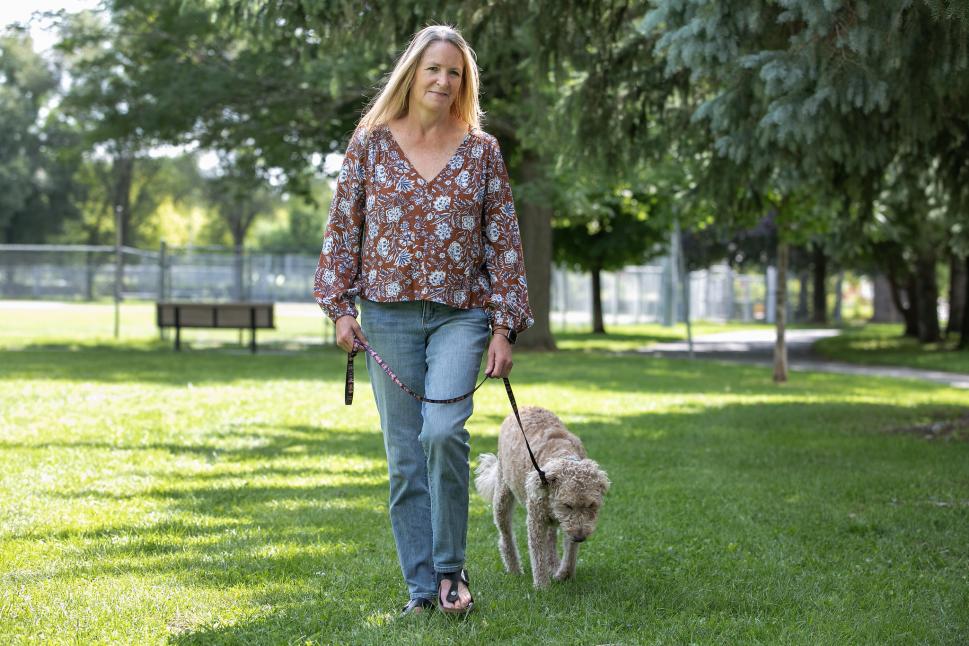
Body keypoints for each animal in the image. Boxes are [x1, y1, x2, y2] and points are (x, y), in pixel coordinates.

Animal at [474, 408, 608, 588]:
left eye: (591, 505)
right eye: (567, 505)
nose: (580, 537)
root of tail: (524, 407)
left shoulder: (570, 523)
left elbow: (570, 553)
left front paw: (563, 575)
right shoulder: (536, 520)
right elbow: (537, 553)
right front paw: (542, 586)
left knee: (551, 538)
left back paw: (553, 565)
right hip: (502, 496)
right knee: (506, 535)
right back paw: (514, 568)